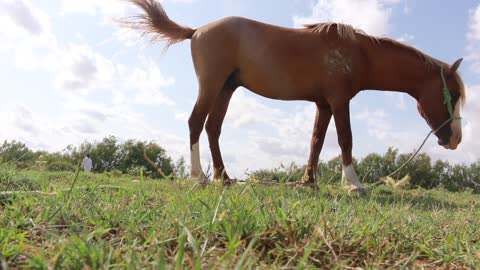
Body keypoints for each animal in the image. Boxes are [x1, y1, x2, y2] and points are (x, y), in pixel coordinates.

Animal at [123, 0, 464, 192]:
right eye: (452, 93)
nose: (456, 140)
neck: (359, 53)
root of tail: (197, 30)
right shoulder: (339, 101)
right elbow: (345, 139)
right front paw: (353, 185)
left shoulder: (324, 105)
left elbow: (316, 142)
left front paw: (309, 182)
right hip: (211, 85)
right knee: (196, 123)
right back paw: (199, 178)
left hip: (226, 89)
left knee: (212, 128)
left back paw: (225, 177)